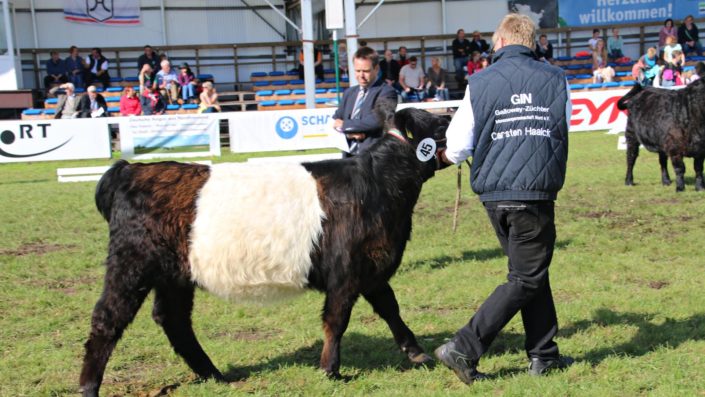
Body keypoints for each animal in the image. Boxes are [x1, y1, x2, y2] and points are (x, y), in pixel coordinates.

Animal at [80, 100, 448, 394]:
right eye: (442, 125)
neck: (380, 185)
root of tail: (130, 169)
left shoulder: (372, 267)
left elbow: (390, 308)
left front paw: (416, 351)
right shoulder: (346, 272)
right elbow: (337, 319)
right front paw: (331, 369)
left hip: (175, 274)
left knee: (173, 319)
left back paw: (213, 375)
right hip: (132, 263)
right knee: (107, 318)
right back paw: (88, 386)